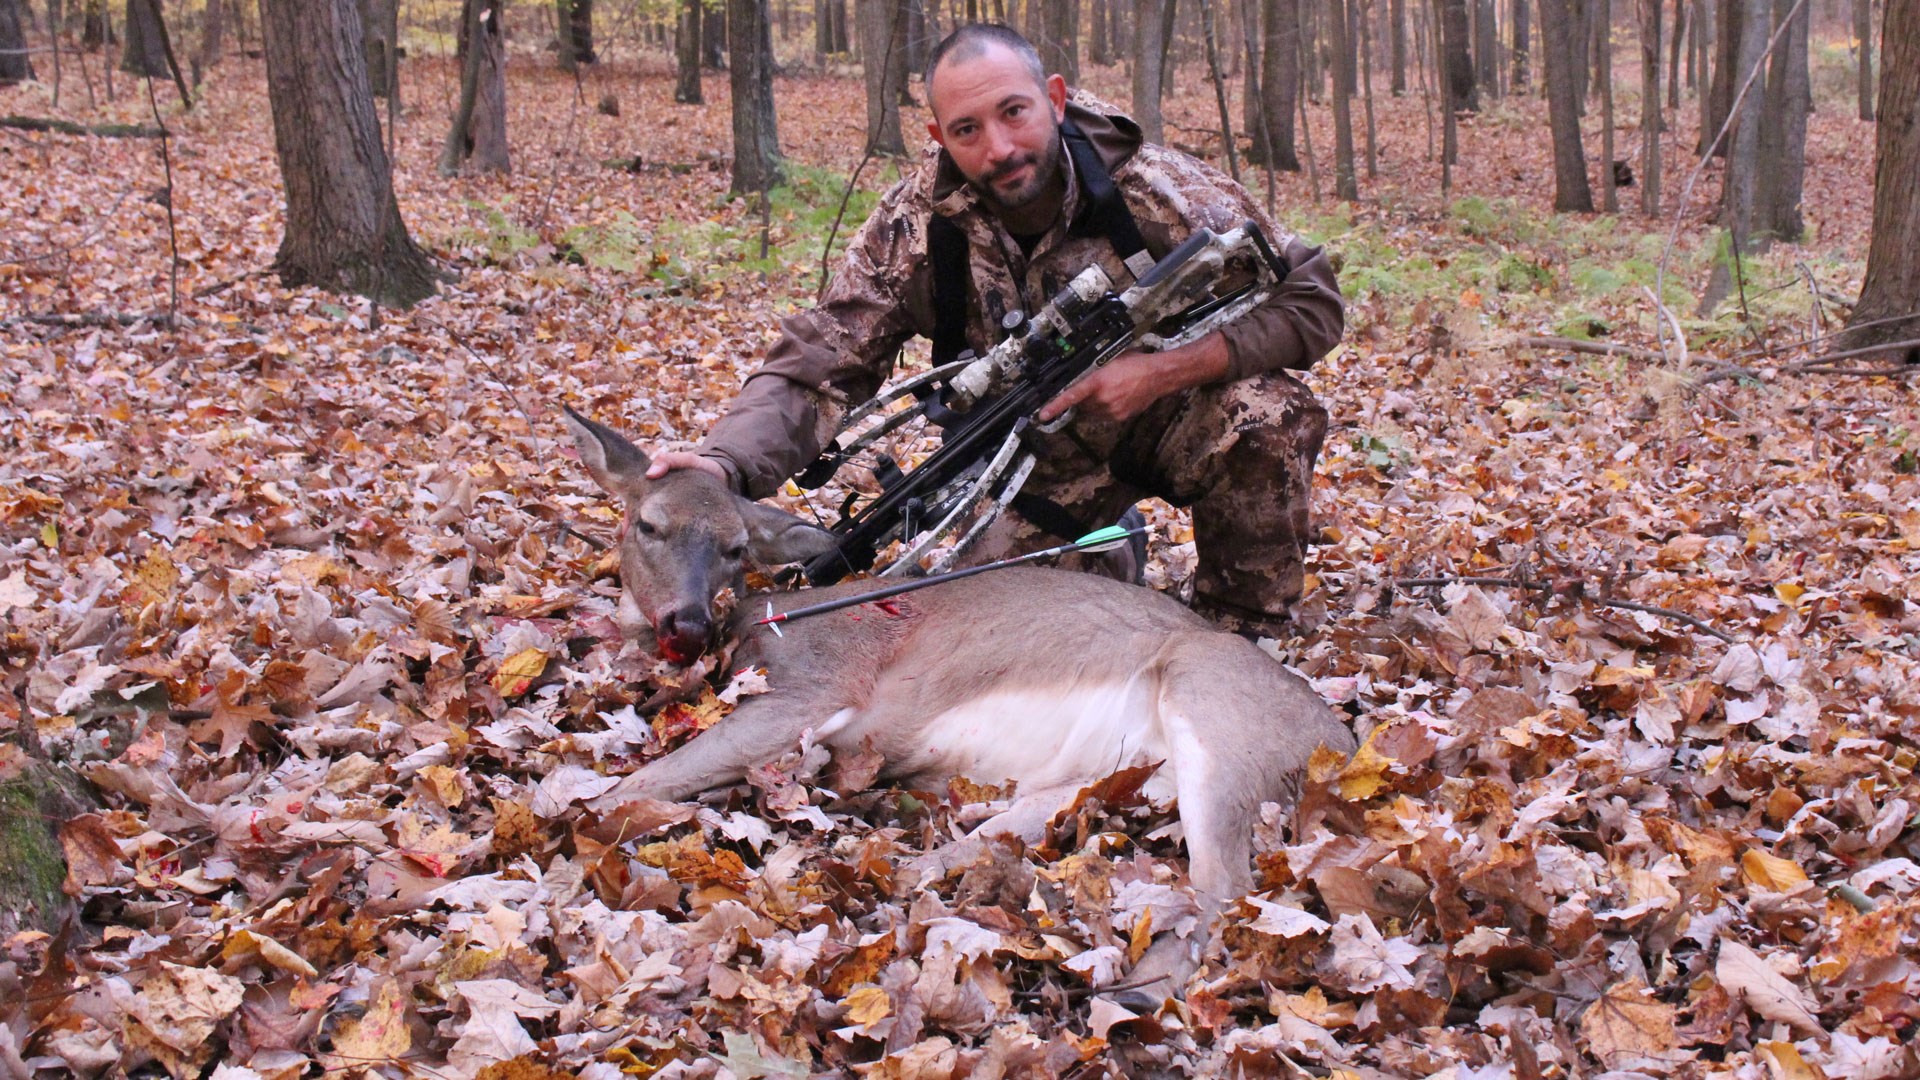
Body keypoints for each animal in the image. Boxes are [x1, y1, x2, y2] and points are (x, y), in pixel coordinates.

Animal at [560, 405, 1359, 999]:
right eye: (648, 525)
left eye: (733, 549)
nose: (688, 623)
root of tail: (1343, 741)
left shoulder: (819, 688)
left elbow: (639, 783)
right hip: (1110, 774)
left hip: (1215, 711)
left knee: (1226, 889)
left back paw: (1139, 990)